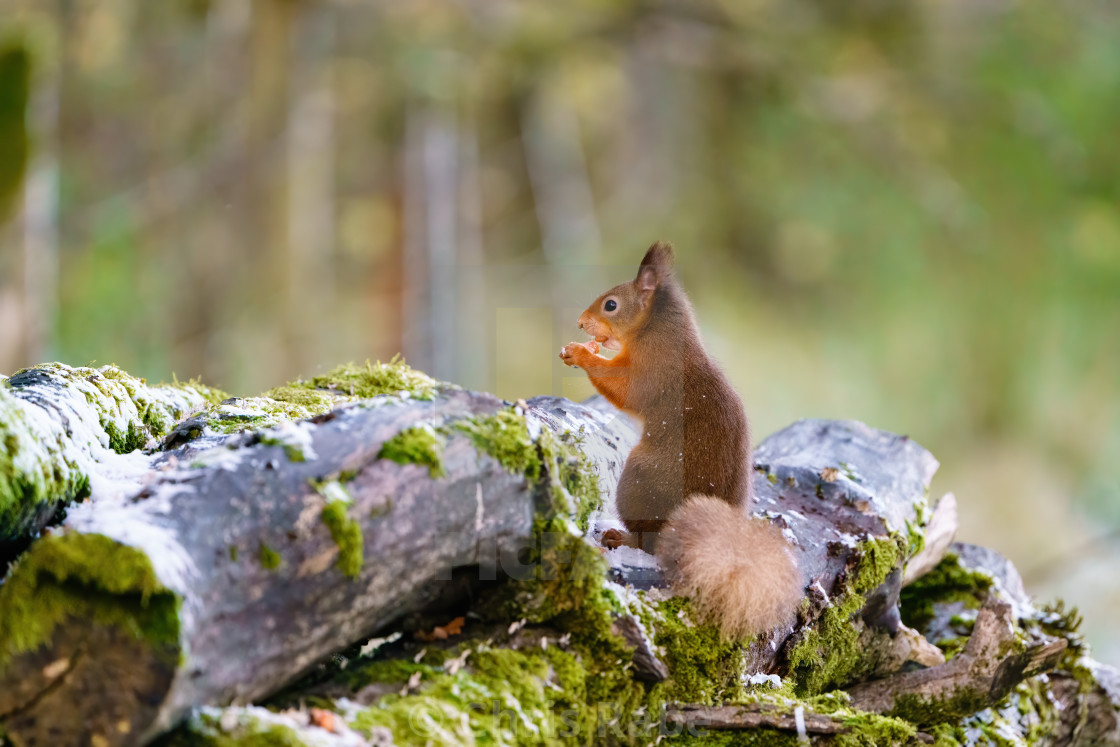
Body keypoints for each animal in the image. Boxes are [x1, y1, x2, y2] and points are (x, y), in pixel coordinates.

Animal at [564, 244, 801, 636]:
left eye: (611, 304)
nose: (581, 323)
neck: (656, 331)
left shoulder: (654, 371)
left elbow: (624, 388)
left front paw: (581, 353)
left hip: (639, 479)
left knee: (648, 544)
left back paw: (621, 538)